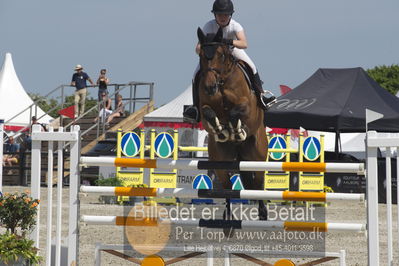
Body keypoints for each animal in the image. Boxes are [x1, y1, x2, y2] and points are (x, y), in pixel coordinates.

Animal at [197, 27, 268, 222]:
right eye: (201, 55)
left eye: (221, 55)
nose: (209, 87)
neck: (222, 81)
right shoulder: (204, 107)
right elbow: (209, 113)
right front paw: (221, 131)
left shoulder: (247, 105)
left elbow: (236, 112)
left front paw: (236, 130)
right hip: (221, 160)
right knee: (227, 187)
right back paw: (227, 216)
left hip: (258, 156)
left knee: (258, 184)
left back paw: (263, 213)